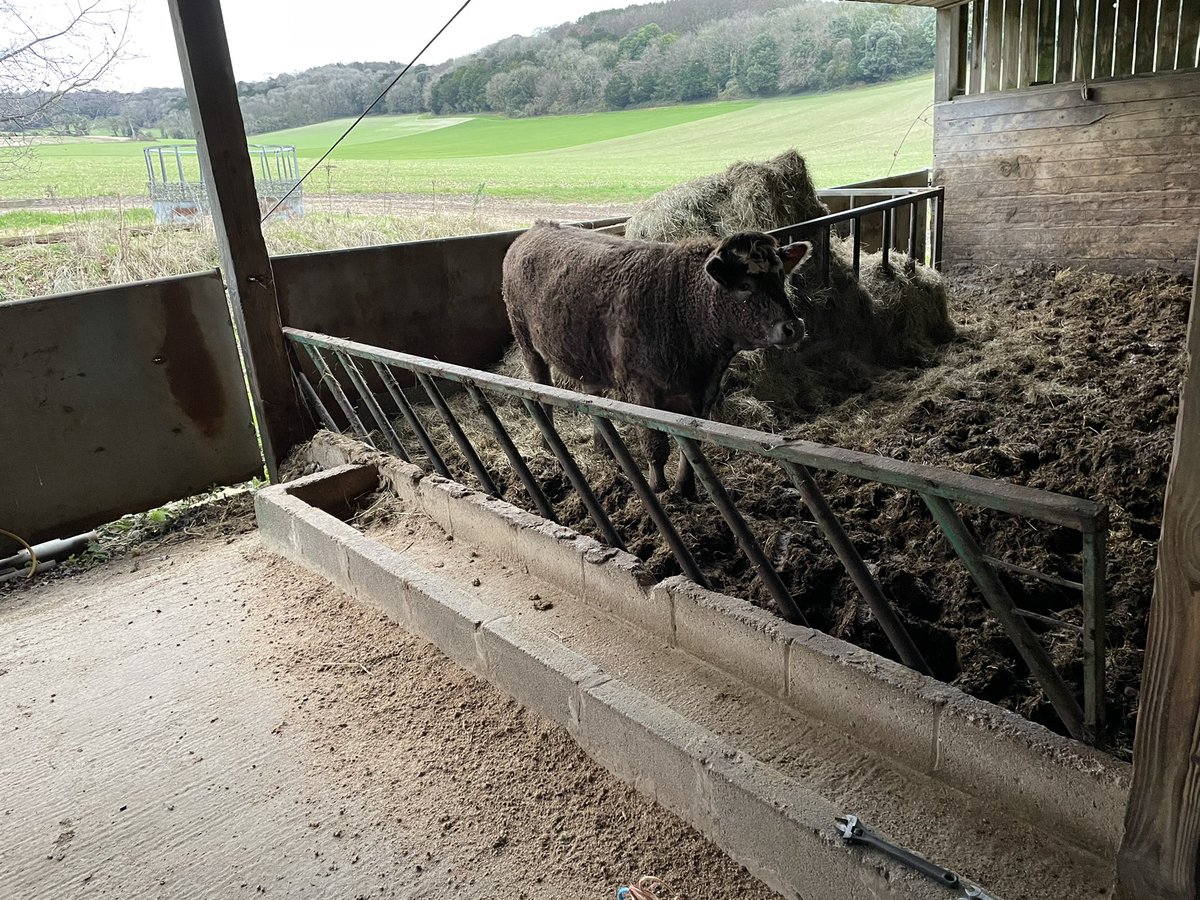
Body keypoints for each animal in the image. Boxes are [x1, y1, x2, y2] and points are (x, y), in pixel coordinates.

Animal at [502, 221, 812, 496]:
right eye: (745, 285)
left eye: (780, 278)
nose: (794, 327)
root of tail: (536, 228)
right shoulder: (643, 390)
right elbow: (655, 445)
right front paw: (659, 489)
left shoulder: (702, 395)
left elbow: (691, 446)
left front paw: (685, 488)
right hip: (526, 341)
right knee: (541, 389)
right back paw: (547, 442)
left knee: (593, 396)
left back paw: (603, 446)